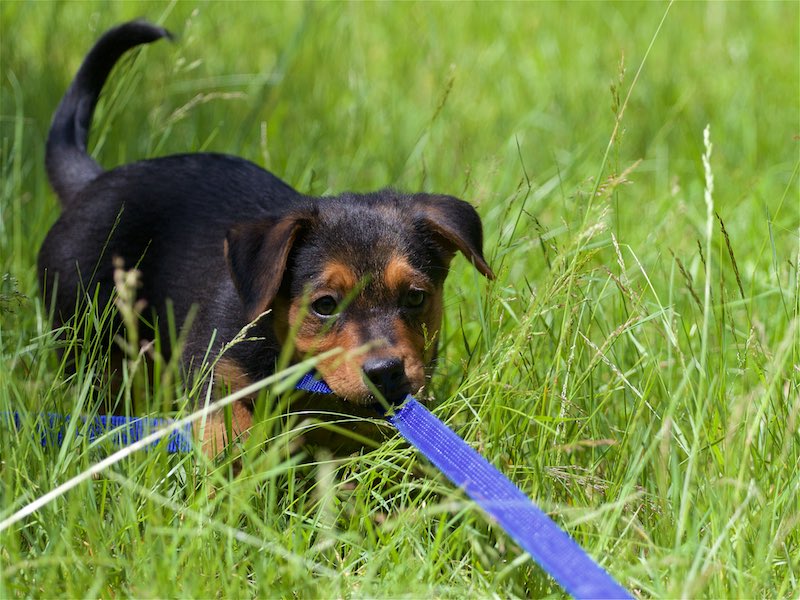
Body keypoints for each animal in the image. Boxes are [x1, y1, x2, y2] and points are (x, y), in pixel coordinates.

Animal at [39, 20, 494, 453]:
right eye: (324, 305)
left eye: (416, 298)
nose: (386, 373)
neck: (293, 365)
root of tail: (90, 182)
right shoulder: (213, 372)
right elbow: (228, 431)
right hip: (88, 340)